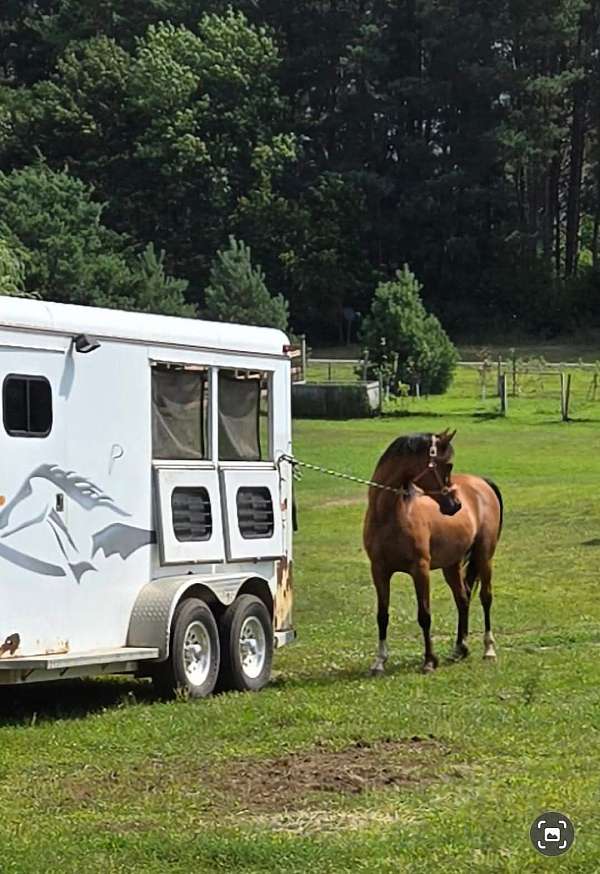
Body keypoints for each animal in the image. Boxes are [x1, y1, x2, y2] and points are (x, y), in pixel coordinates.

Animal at [364, 432, 504, 672]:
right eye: (447, 465)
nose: (455, 504)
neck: (390, 516)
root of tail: (482, 483)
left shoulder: (420, 569)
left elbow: (424, 615)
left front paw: (429, 660)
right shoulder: (379, 570)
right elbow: (382, 615)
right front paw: (380, 661)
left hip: (484, 556)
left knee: (485, 597)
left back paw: (488, 649)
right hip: (451, 565)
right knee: (463, 598)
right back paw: (460, 649)